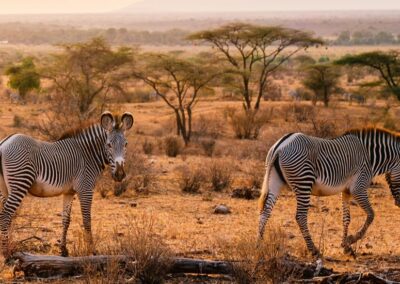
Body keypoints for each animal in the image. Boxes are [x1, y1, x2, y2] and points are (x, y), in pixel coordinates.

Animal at [0, 111, 134, 260]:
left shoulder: (69, 192)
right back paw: (6, 254)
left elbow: (66, 220)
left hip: (5, 188)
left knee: (5, 216)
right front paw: (92, 251)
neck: (87, 154)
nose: (120, 174)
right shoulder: (85, 188)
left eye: (126, 144)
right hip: (19, 183)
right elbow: (87, 219)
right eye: (109, 145)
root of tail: (5, 142)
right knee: (6, 215)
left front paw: (63, 250)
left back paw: (9, 248)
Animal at [258, 128, 400, 258]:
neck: (370, 157)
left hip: (274, 181)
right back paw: (314, 250)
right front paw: (351, 240)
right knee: (300, 216)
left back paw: (259, 245)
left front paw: (346, 247)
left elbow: (346, 218)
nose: (398, 204)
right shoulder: (358, 187)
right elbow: (371, 214)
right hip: (304, 181)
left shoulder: (346, 191)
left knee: (265, 212)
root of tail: (280, 146)